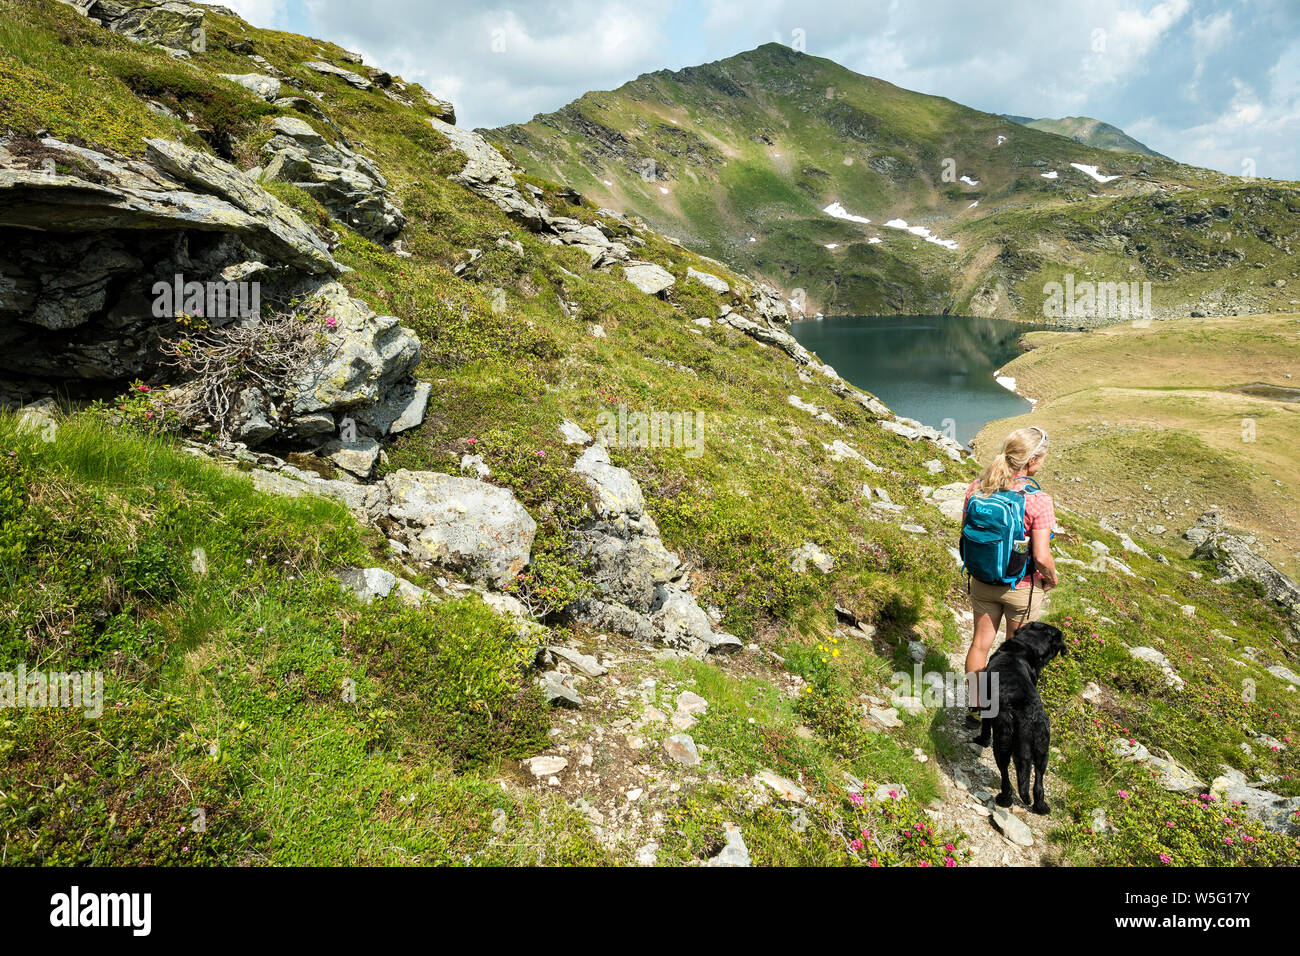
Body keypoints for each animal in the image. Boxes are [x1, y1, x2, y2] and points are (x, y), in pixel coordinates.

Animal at [977, 624, 1066, 816]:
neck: (1022, 649)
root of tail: (1027, 716)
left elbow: (985, 728)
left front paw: (980, 740)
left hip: (1003, 742)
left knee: (1006, 776)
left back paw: (1004, 799)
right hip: (1042, 750)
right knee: (1038, 782)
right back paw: (1040, 807)